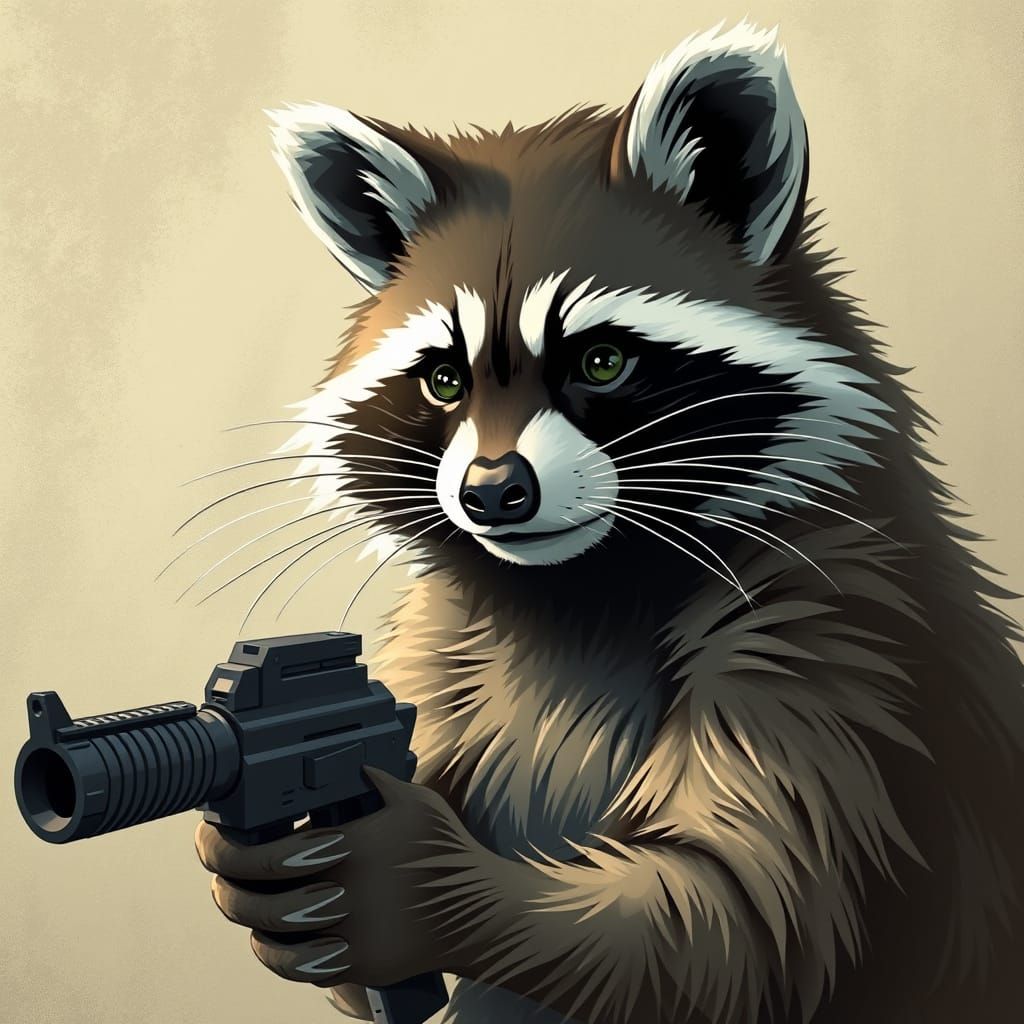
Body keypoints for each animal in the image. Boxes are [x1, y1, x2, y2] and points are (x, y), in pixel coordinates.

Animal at [253, 21, 1023, 1024]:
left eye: (603, 361)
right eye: (446, 381)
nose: (493, 492)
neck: (580, 585)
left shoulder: (836, 626)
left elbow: (732, 922)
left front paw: (411, 886)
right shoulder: (443, 635)